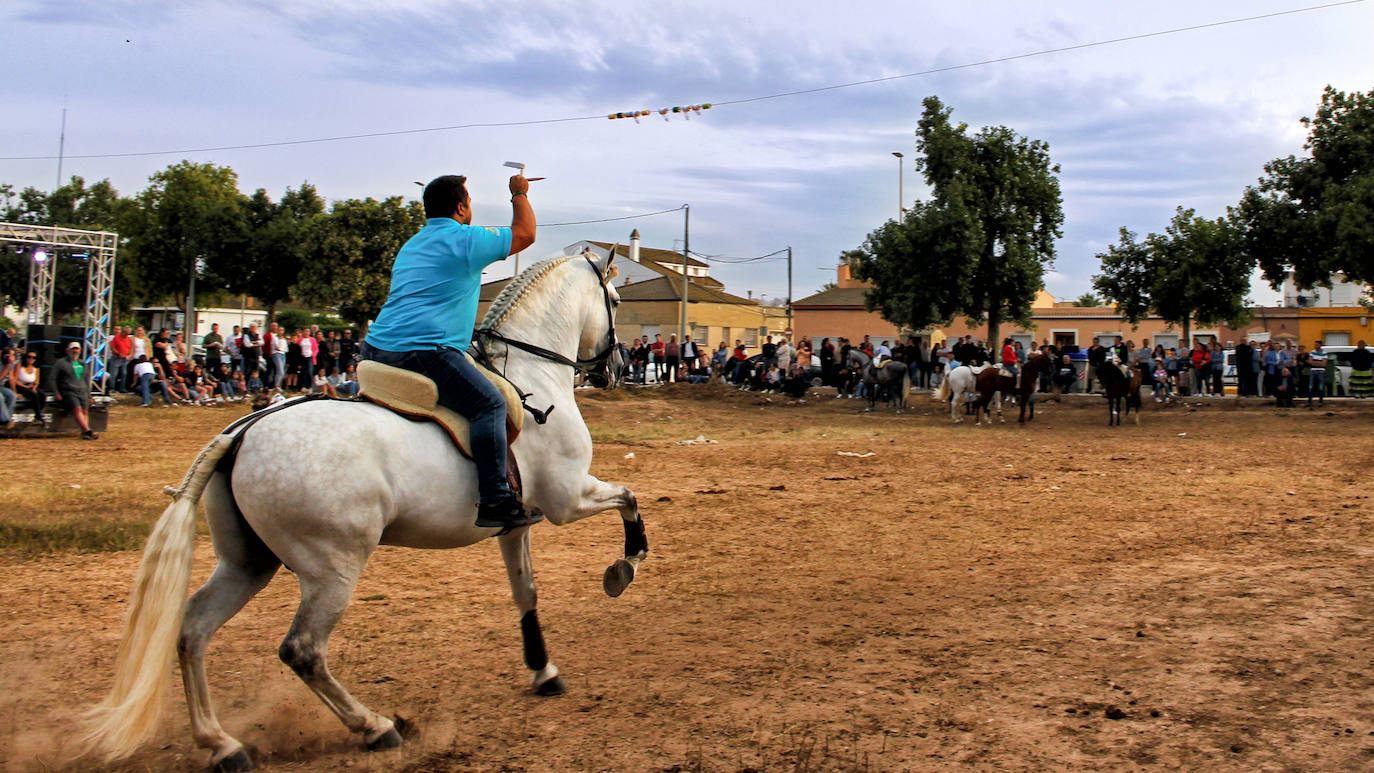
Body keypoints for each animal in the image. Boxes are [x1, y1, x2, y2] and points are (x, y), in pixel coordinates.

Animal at [80, 255, 643, 773]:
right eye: (616, 302)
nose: (617, 368)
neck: (531, 377)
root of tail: (241, 433)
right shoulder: (568, 499)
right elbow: (629, 499)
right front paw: (625, 566)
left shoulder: (515, 523)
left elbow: (526, 593)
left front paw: (544, 672)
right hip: (333, 568)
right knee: (303, 650)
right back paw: (376, 727)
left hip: (247, 564)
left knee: (193, 630)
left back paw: (224, 745)